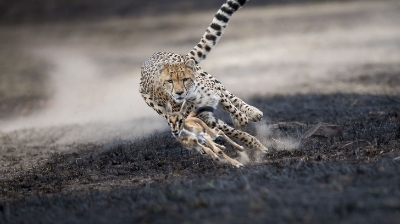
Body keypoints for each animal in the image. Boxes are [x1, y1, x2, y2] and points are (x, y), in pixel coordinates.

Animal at [139, 0, 268, 152]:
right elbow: (231, 131)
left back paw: (252, 112)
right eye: (169, 81)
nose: (179, 93)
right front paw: (252, 142)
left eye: (185, 79)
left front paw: (241, 119)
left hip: (213, 80)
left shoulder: (217, 94)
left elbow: (231, 106)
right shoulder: (204, 117)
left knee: (233, 97)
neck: (193, 96)